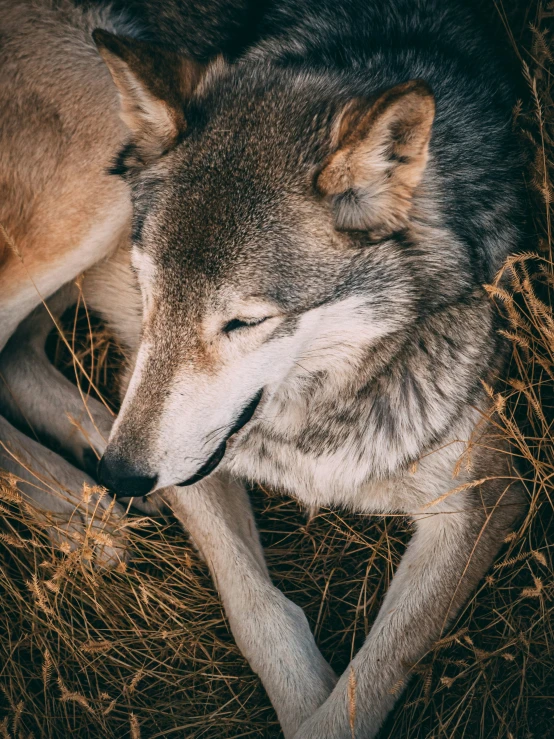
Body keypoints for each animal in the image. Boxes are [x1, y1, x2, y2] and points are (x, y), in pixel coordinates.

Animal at [0, 1, 524, 739]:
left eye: (244, 322)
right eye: (149, 287)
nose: (125, 474)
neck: (315, 413)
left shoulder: (484, 496)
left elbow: (369, 682)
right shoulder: (184, 455)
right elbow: (258, 609)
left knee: (19, 356)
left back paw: (89, 492)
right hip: (93, 179)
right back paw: (86, 513)